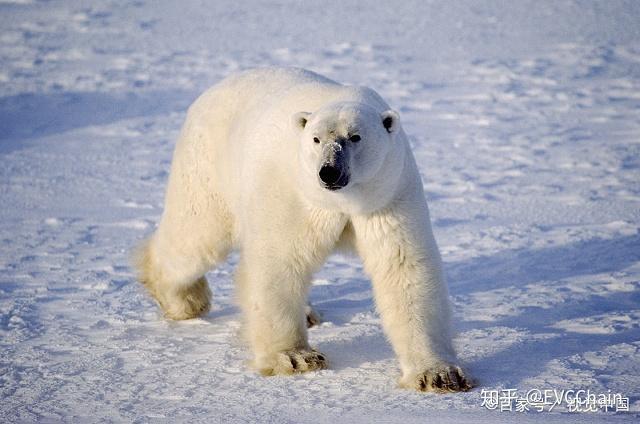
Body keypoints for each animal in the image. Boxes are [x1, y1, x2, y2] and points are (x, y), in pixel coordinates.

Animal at [135, 67, 472, 394]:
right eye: (316, 139)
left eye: (355, 137)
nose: (329, 172)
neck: (343, 199)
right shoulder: (292, 192)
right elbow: (280, 261)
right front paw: (295, 357)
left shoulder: (389, 193)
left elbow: (403, 267)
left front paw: (438, 375)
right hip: (207, 167)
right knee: (196, 234)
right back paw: (185, 299)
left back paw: (307, 312)